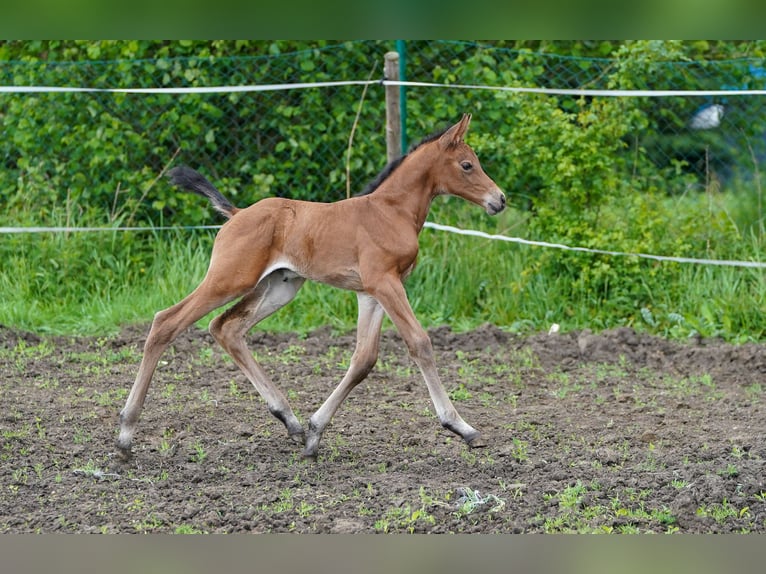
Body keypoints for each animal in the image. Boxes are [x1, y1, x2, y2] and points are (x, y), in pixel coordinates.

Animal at [117, 115, 508, 462]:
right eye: (467, 165)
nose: (499, 199)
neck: (390, 211)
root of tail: (237, 213)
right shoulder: (386, 282)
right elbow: (420, 343)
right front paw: (462, 427)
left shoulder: (371, 292)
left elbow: (364, 359)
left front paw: (315, 433)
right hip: (228, 279)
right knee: (166, 322)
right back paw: (125, 436)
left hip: (280, 286)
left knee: (226, 328)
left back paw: (289, 421)